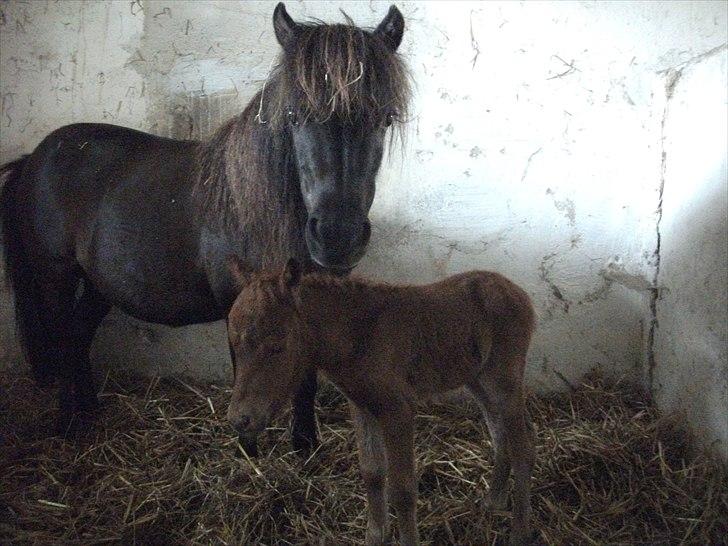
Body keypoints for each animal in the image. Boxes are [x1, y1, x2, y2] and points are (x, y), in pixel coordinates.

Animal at [0, 2, 410, 448]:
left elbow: (305, 380)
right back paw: (67, 424)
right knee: (61, 339)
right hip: (54, 275)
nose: (338, 238)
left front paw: (305, 444)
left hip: (98, 283)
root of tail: (35, 157)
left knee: (77, 337)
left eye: (386, 118)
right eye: (293, 115)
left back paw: (90, 412)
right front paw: (249, 445)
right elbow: (244, 372)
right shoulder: (238, 301)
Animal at [229, 258, 540, 540]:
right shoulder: (362, 405)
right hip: (478, 380)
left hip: (504, 380)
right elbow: (372, 473)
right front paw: (375, 536)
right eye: (233, 345)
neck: (359, 336)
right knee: (501, 436)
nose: (240, 419)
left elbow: (402, 490)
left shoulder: (397, 410)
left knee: (522, 447)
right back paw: (493, 502)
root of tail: (518, 293)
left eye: (277, 346)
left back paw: (520, 532)